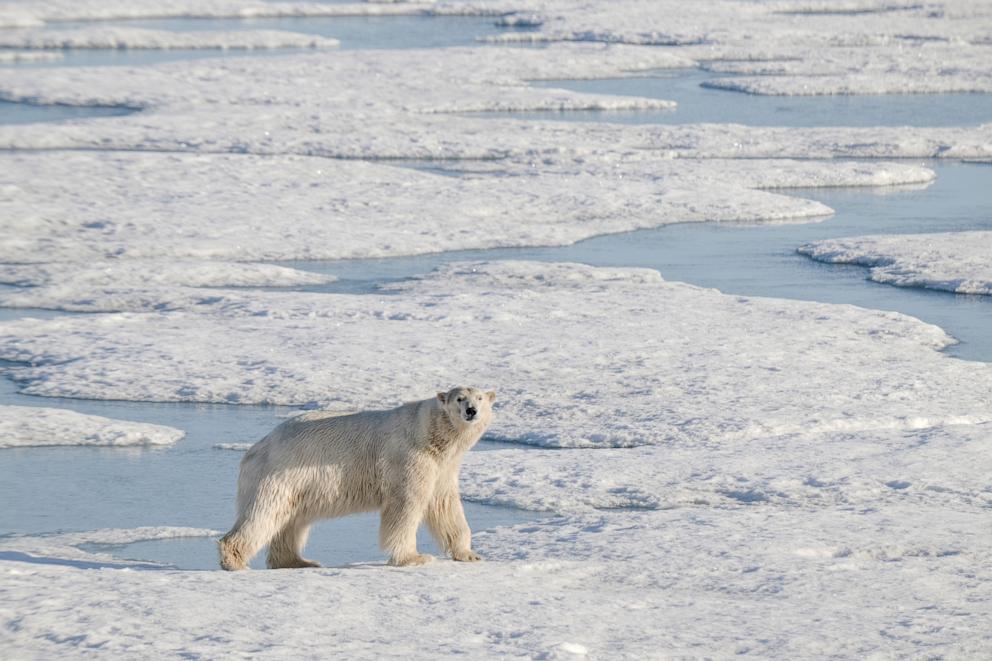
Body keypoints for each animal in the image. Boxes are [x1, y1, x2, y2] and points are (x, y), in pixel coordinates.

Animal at [218, 386, 496, 570]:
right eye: (459, 398)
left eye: (480, 398)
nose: (471, 411)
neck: (429, 434)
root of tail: (258, 447)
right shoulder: (408, 458)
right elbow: (405, 506)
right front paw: (414, 558)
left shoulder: (442, 467)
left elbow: (445, 505)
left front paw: (469, 554)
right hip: (280, 473)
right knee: (264, 513)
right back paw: (235, 560)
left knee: (290, 521)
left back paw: (299, 560)